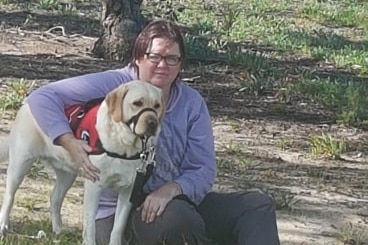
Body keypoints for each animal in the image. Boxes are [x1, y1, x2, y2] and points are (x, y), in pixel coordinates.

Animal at [0, 80, 164, 245]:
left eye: (157, 105)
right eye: (137, 103)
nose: (153, 123)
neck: (124, 146)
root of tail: (27, 101)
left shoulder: (128, 191)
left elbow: (118, 227)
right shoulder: (94, 186)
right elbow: (90, 224)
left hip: (67, 175)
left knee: (55, 198)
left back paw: (59, 229)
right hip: (20, 165)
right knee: (9, 196)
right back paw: (3, 225)